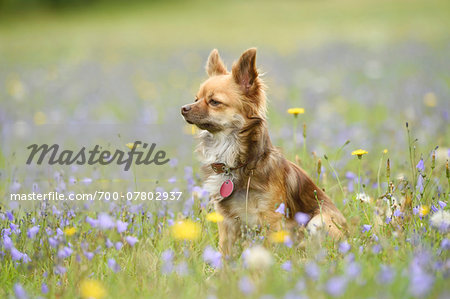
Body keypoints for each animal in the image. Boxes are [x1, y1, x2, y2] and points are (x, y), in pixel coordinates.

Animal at [181, 48, 346, 255]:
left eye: (214, 102)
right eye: (196, 99)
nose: (184, 108)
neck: (236, 161)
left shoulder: (271, 217)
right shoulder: (226, 221)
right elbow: (224, 250)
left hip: (319, 220)